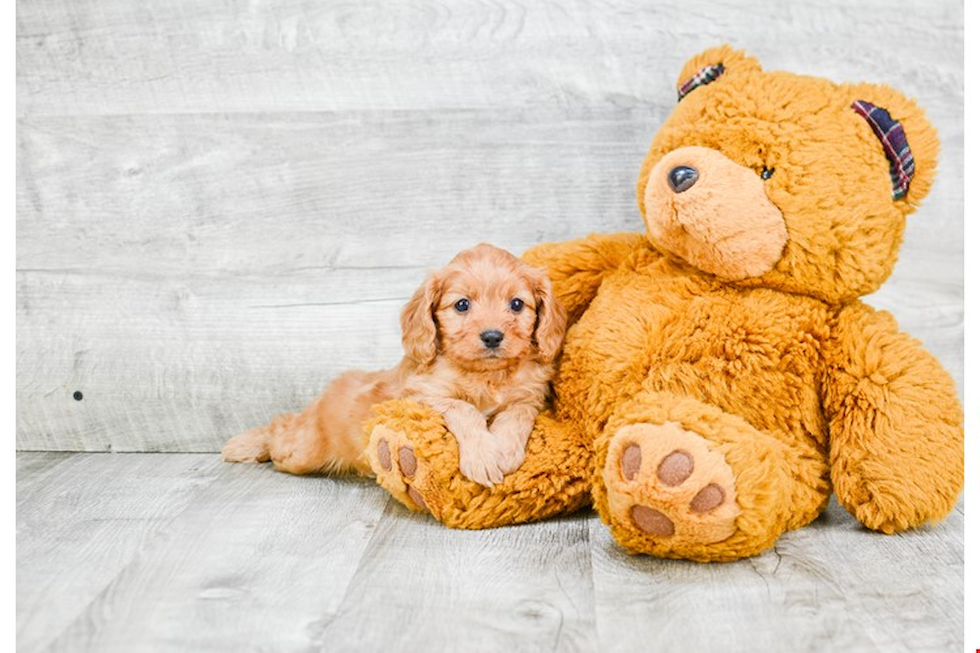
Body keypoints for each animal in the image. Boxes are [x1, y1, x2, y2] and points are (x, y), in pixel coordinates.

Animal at [217, 242, 564, 486]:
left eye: (517, 304)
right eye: (462, 304)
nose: (492, 336)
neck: (486, 375)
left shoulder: (530, 396)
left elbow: (516, 414)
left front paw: (504, 449)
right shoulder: (421, 394)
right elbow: (463, 408)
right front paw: (483, 456)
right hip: (302, 452)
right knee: (280, 429)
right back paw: (246, 444)